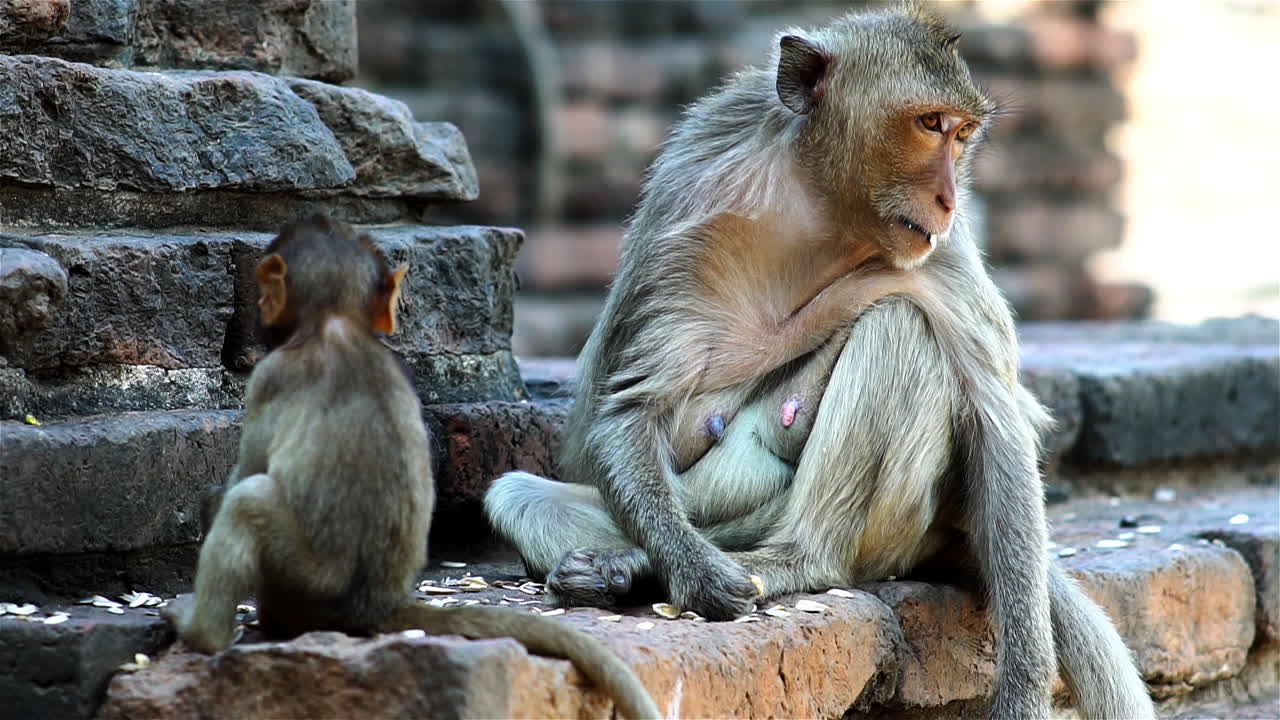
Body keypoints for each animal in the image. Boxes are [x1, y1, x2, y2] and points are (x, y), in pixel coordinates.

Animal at [162, 216, 661, 720]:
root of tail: (375, 608)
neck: (336, 324)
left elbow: (238, 479)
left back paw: (202, 630)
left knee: (250, 501)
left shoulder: (270, 377)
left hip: (298, 585)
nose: (261, 310)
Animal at [483, 4, 1155, 719]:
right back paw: (624, 567)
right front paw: (690, 568)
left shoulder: (942, 249)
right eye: (930, 125)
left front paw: (1023, 688)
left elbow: (996, 414)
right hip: (714, 505)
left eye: (963, 133)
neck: (823, 205)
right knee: (522, 497)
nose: (950, 198)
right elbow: (635, 406)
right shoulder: (694, 203)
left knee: (901, 329)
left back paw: (788, 560)